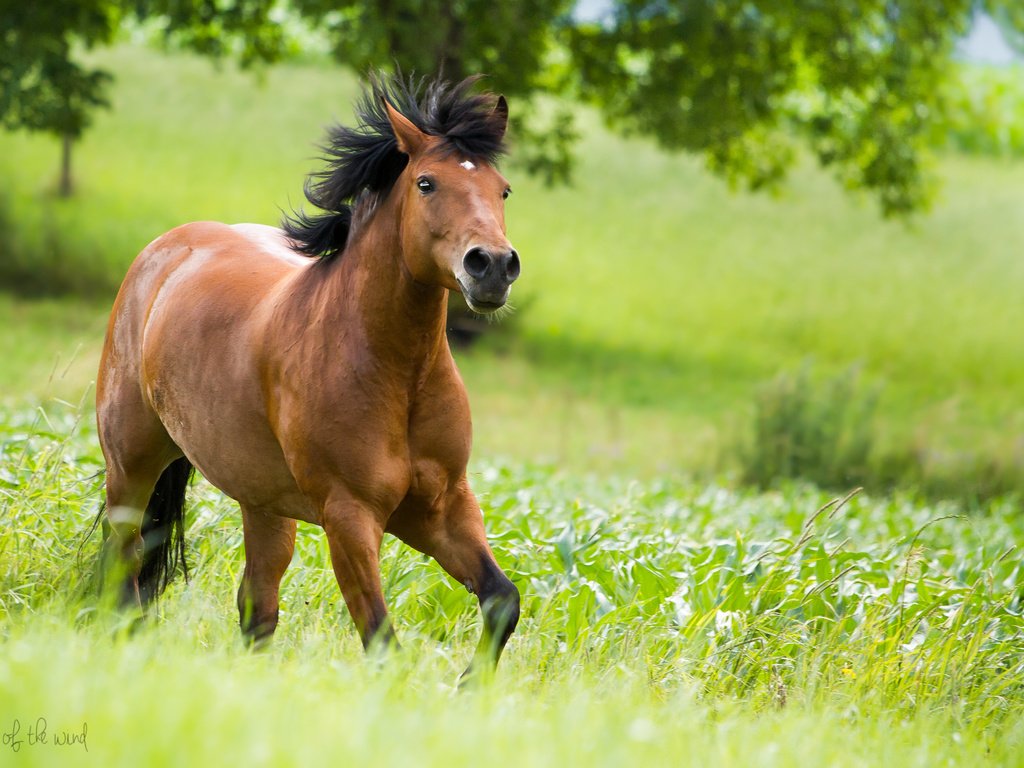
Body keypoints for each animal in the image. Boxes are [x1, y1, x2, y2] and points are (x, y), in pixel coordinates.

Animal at [96, 72, 520, 671]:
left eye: (502, 189)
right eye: (427, 183)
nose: (493, 267)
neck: (398, 376)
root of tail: (166, 251)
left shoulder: (442, 507)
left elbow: (503, 599)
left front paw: (470, 685)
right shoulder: (350, 516)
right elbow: (382, 640)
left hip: (264, 504)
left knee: (256, 606)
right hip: (131, 467)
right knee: (125, 564)